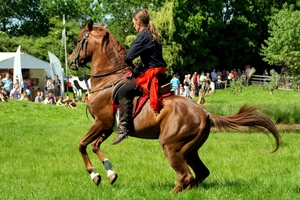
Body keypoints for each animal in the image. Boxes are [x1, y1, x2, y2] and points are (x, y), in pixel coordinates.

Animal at [67, 19, 280, 192]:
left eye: (78, 41)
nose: (70, 61)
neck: (108, 79)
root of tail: (206, 113)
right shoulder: (107, 126)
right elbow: (94, 145)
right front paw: (110, 174)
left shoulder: (101, 122)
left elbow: (82, 145)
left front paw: (95, 175)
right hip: (189, 150)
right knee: (200, 173)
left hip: (171, 146)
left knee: (186, 176)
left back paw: (172, 192)